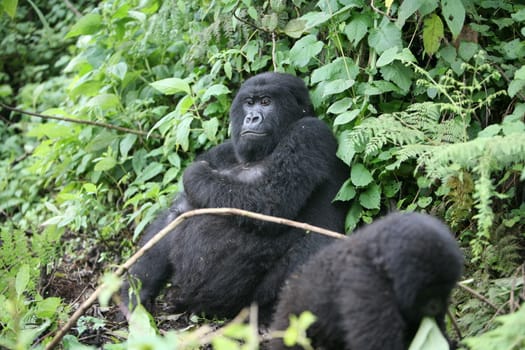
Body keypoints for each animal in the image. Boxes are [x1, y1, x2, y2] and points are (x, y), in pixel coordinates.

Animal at [121, 72, 350, 324]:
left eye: (266, 102)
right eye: (249, 103)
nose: (251, 117)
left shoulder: (310, 133)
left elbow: (270, 201)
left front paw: (195, 174)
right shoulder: (223, 150)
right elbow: (179, 212)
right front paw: (134, 291)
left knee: (317, 244)